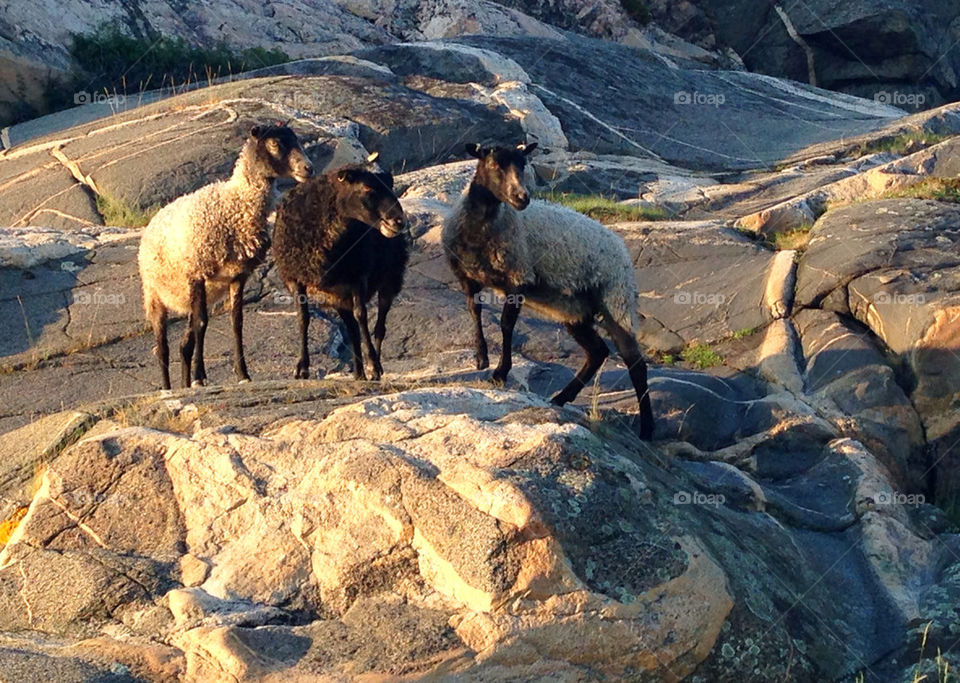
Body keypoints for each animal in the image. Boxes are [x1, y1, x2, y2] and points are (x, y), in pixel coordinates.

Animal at [139, 123, 314, 390]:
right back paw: (169, 388)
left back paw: (184, 383)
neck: (236, 203)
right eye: (274, 143)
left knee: (184, 345)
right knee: (163, 348)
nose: (308, 168)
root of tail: (153, 220)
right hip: (154, 293)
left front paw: (243, 374)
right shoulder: (197, 271)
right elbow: (202, 323)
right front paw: (200, 377)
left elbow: (236, 322)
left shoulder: (237, 276)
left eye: (297, 140)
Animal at [272, 153, 406, 384]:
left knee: (379, 326)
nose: (399, 221)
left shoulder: (358, 275)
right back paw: (358, 373)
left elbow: (362, 315)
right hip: (338, 296)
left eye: (389, 184)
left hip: (390, 279)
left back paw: (374, 367)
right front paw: (302, 367)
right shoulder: (295, 279)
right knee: (351, 328)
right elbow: (303, 318)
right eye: (368, 188)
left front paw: (373, 365)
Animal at [440, 141, 652, 438]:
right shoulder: (467, 278)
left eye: (523, 164)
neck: (483, 226)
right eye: (493, 164)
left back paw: (646, 429)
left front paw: (500, 373)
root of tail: (621, 247)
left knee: (635, 362)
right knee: (598, 352)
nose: (522, 198)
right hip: (576, 310)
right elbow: (475, 312)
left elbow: (506, 325)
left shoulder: (518, 276)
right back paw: (561, 398)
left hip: (615, 297)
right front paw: (481, 358)